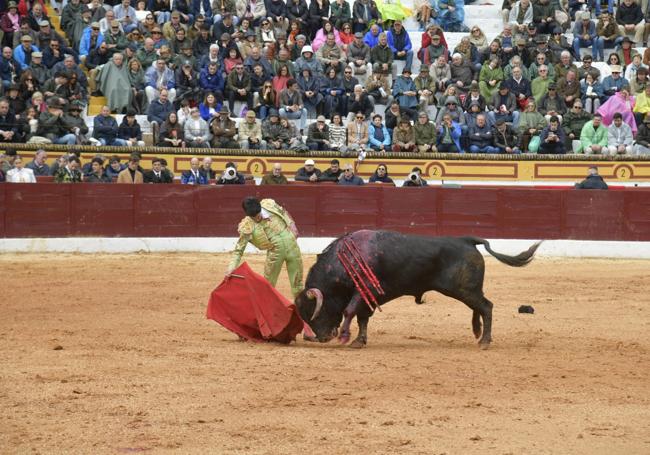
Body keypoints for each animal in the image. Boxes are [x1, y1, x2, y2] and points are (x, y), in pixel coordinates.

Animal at [294, 232, 536, 350]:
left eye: (315, 313)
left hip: (464, 290)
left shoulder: (363, 292)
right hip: (470, 290)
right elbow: (363, 318)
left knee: (487, 307)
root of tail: (467, 240)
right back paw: (478, 334)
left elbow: (350, 311)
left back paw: (484, 341)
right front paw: (359, 341)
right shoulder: (367, 297)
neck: (344, 261)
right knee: (480, 307)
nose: (322, 338)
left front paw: (346, 337)